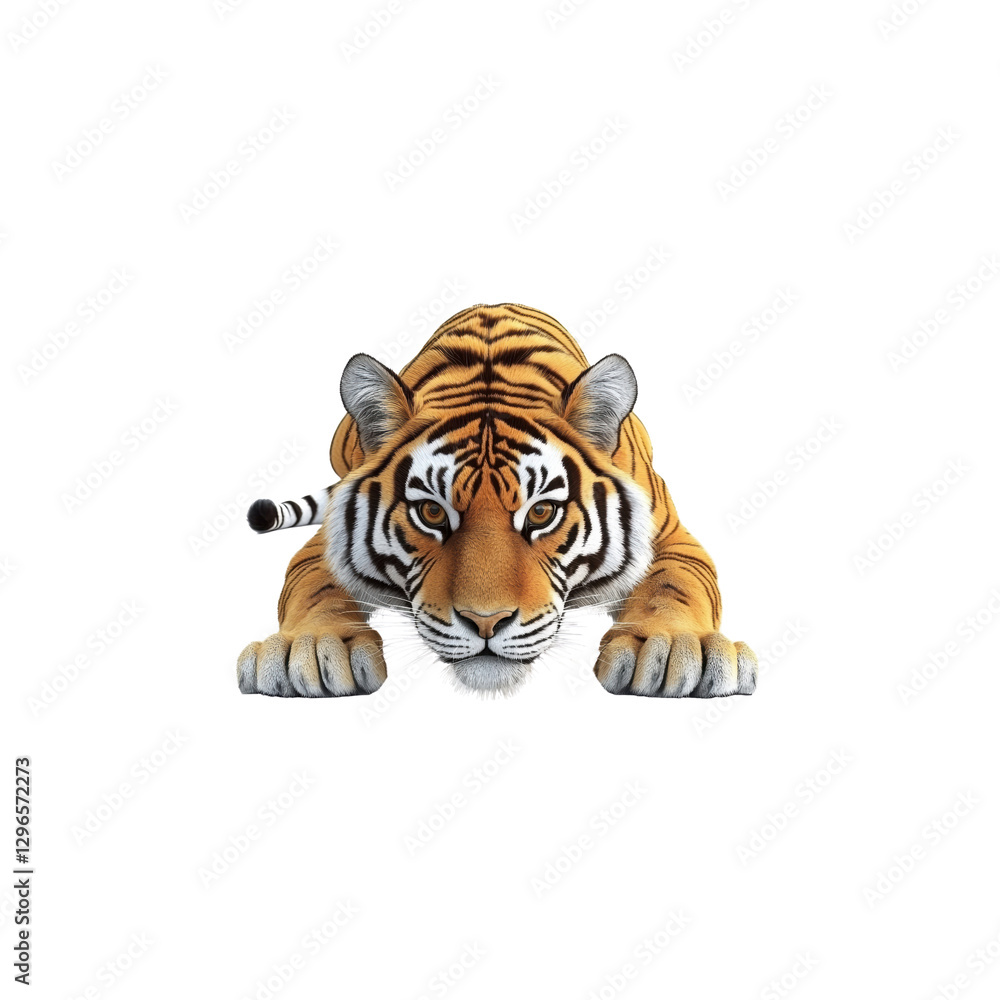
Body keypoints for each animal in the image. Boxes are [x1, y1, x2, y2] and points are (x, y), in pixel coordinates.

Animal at [237, 303, 757, 698]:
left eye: (542, 511)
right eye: (431, 511)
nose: (485, 624)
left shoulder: (672, 537)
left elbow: (674, 585)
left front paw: (672, 647)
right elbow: (314, 587)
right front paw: (308, 648)